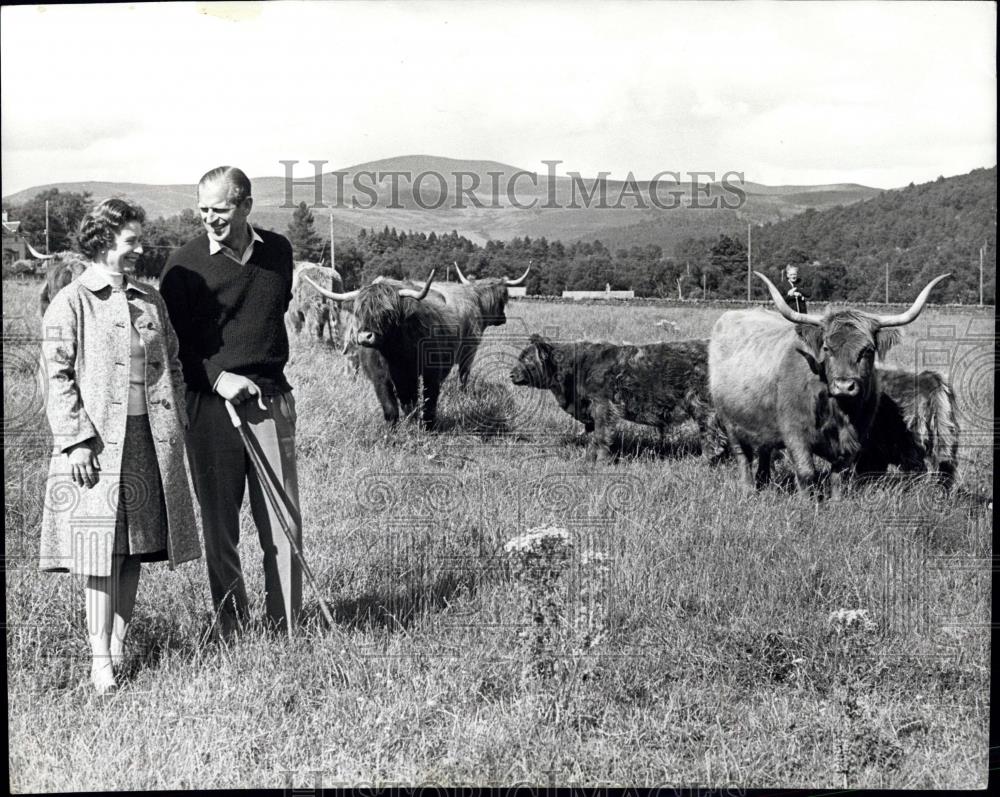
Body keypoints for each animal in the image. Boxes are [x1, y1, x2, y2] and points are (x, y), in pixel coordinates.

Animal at [512, 332, 724, 460]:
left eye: (526, 360)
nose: (511, 374)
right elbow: (594, 435)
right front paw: (590, 457)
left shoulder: (602, 405)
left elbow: (601, 434)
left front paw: (600, 461)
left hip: (702, 405)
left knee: (711, 436)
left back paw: (702, 461)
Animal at [708, 272, 948, 492]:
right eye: (826, 348)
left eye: (868, 350)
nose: (844, 386)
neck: (839, 410)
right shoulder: (795, 433)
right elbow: (806, 473)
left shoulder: (854, 438)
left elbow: (838, 476)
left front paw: (836, 502)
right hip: (730, 421)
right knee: (743, 456)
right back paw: (749, 490)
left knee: (764, 450)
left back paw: (764, 481)